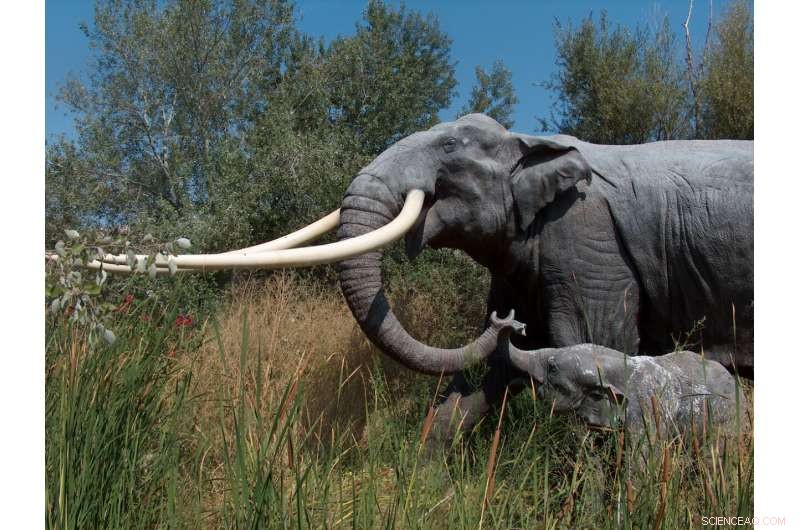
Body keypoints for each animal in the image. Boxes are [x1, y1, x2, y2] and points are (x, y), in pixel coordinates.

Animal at [334, 113, 753, 443]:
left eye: (449, 145)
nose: (504, 321)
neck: (527, 143)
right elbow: (498, 365)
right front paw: (428, 477)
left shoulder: (588, 243)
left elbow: (594, 342)